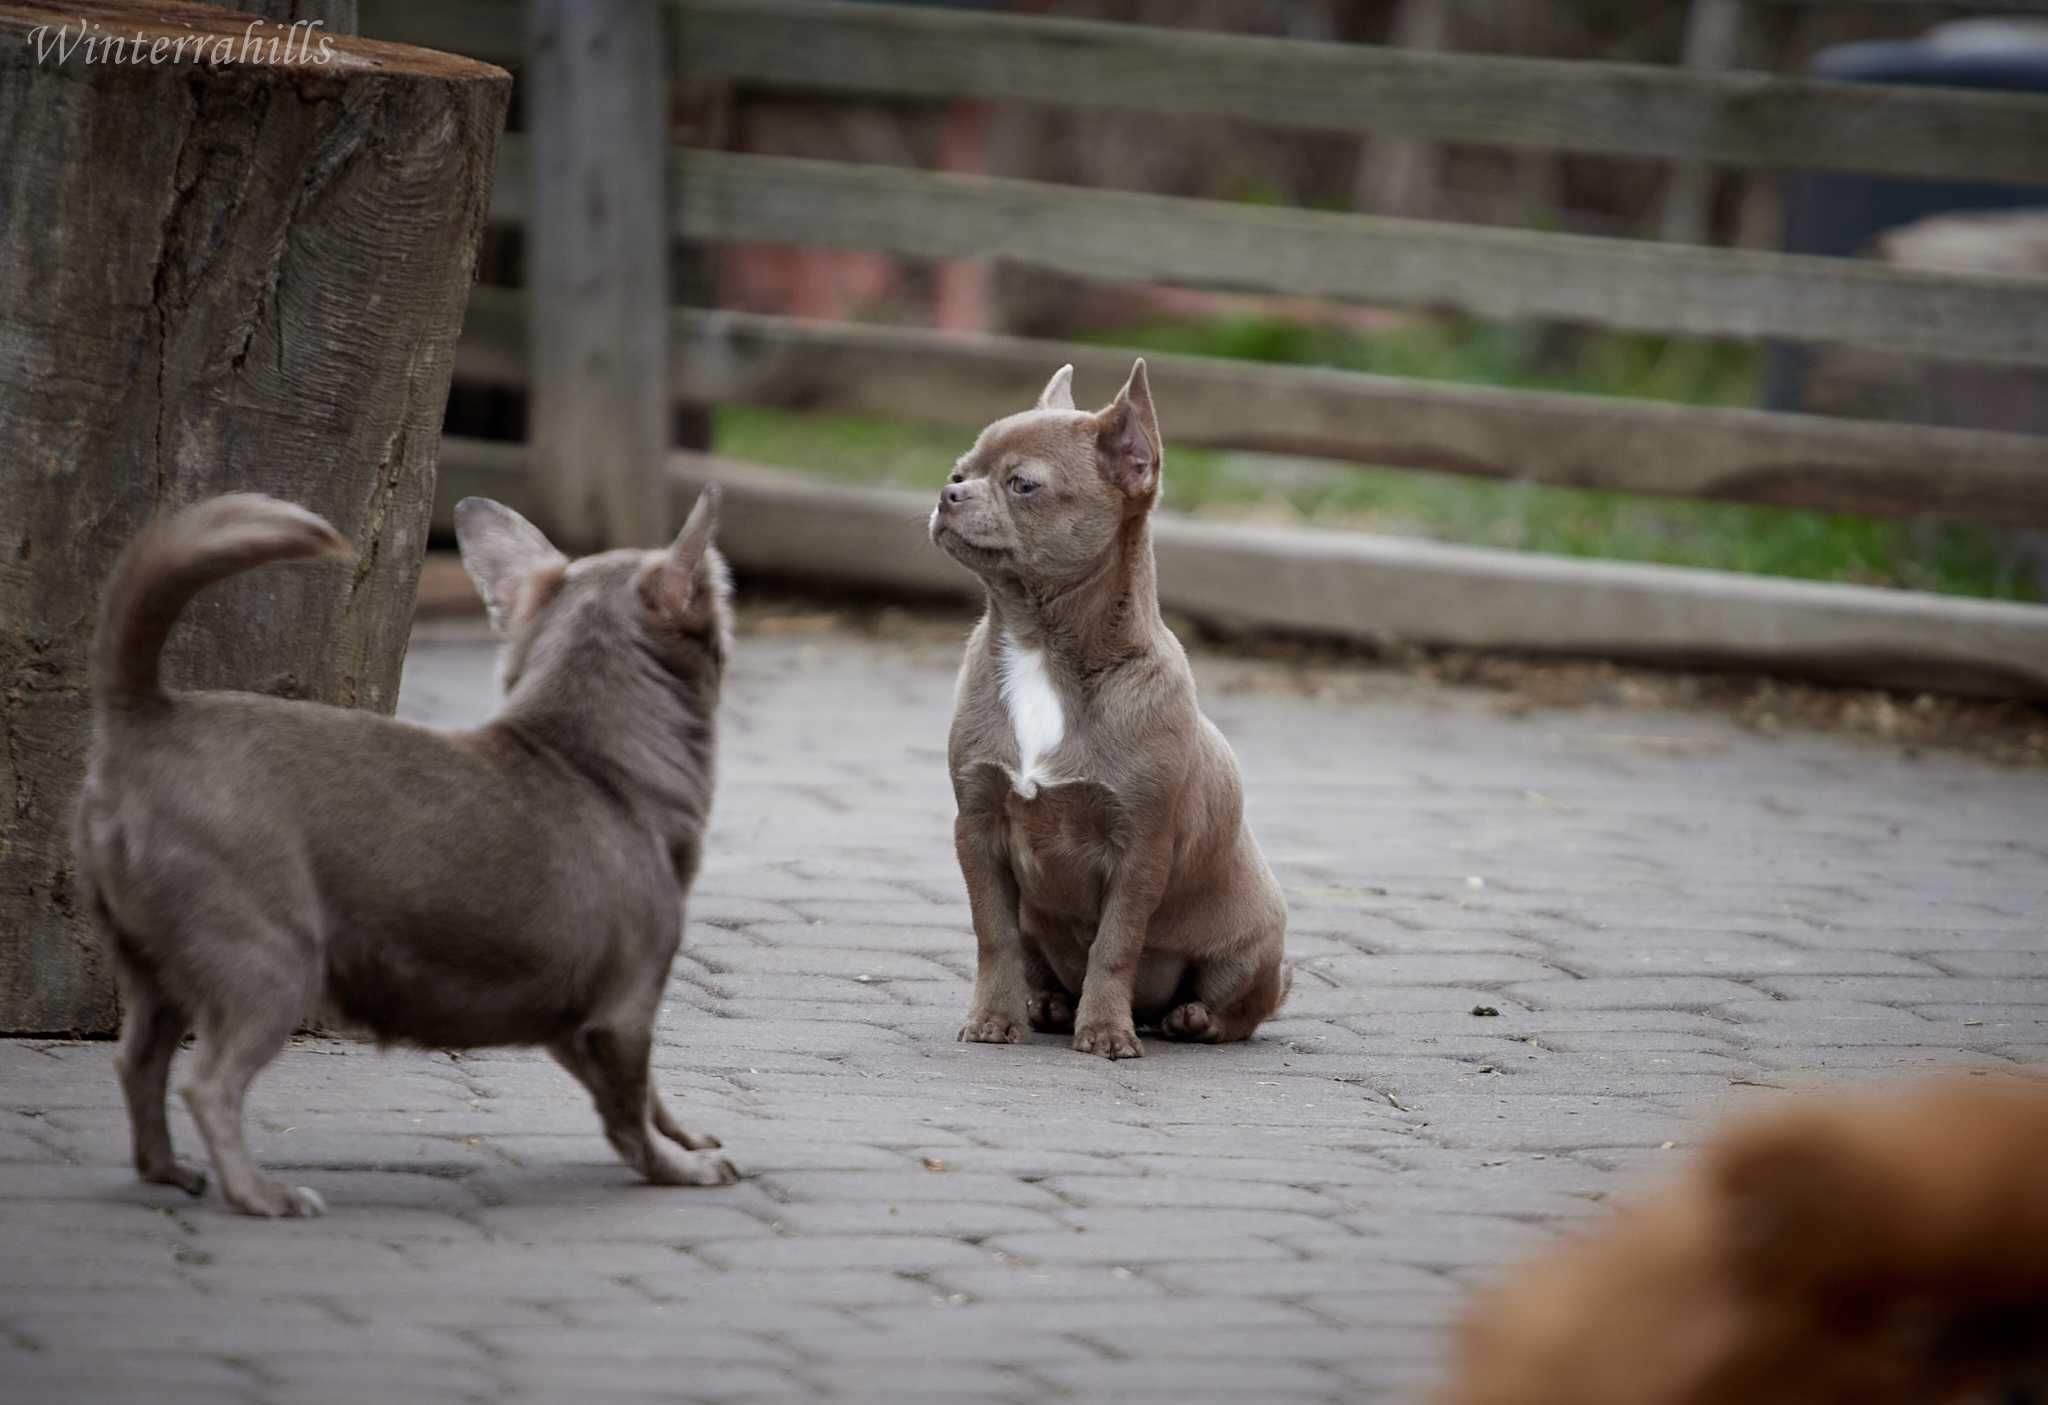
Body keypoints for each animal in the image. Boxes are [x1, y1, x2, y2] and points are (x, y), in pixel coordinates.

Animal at [75, 489, 741, 1212]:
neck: (592, 762)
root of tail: (144, 712)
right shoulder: (623, 1012)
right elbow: (629, 1111)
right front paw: (677, 1168)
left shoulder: (576, 1026)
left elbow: (647, 1094)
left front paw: (684, 1135)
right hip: (269, 964)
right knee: (209, 1084)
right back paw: (259, 1193)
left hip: (157, 971)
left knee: (138, 1060)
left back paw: (165, 1168)